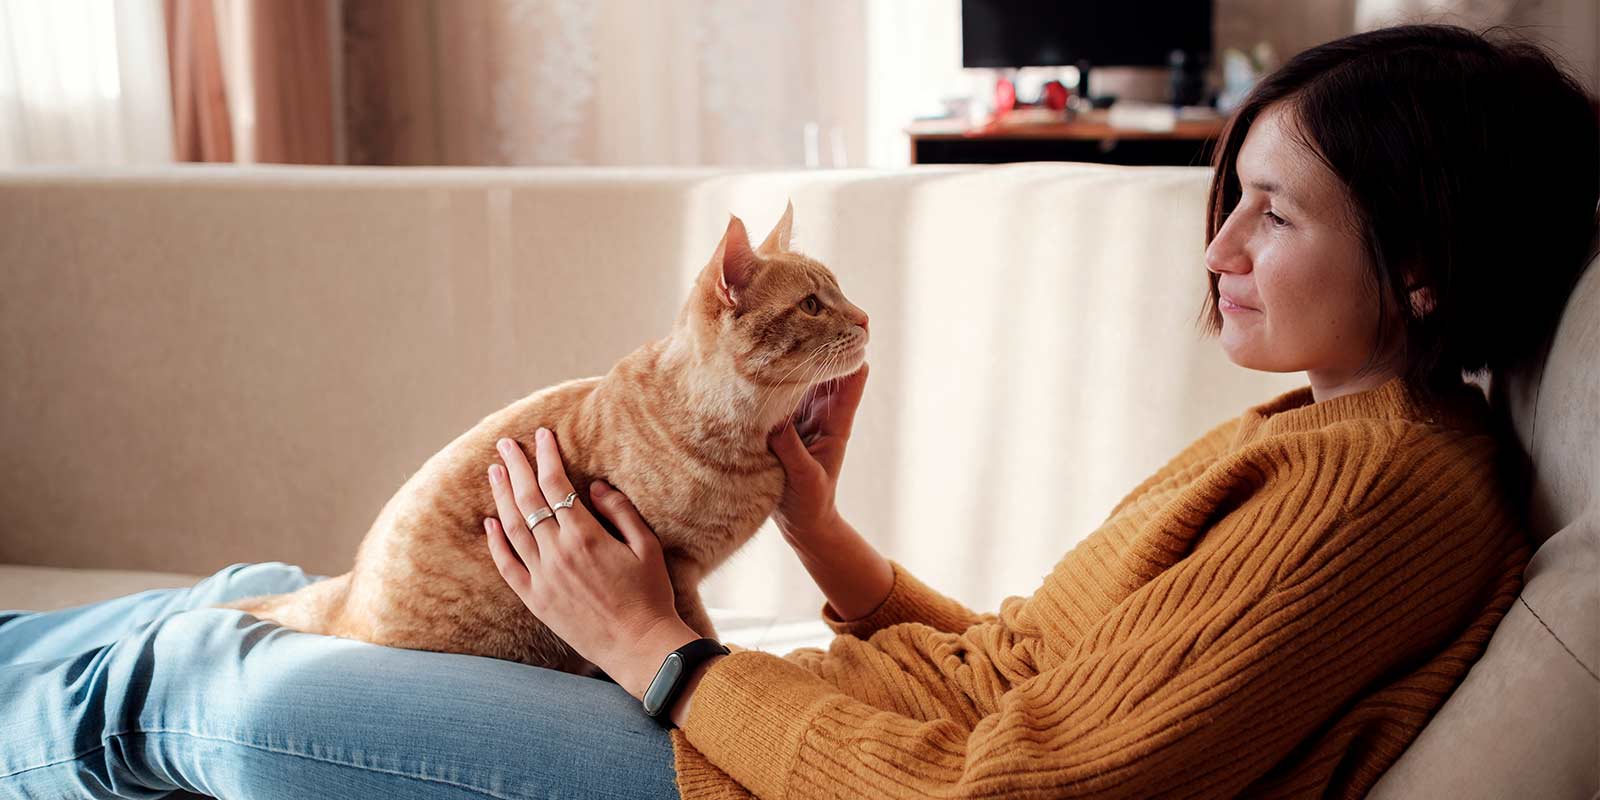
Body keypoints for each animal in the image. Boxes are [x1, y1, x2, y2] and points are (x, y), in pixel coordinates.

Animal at [220, 203, 870, 672]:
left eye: (840, 291)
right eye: (813, 305)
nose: (865, 317)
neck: (746, 442)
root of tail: (347, 593)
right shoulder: (674, 568)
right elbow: (699, 631)